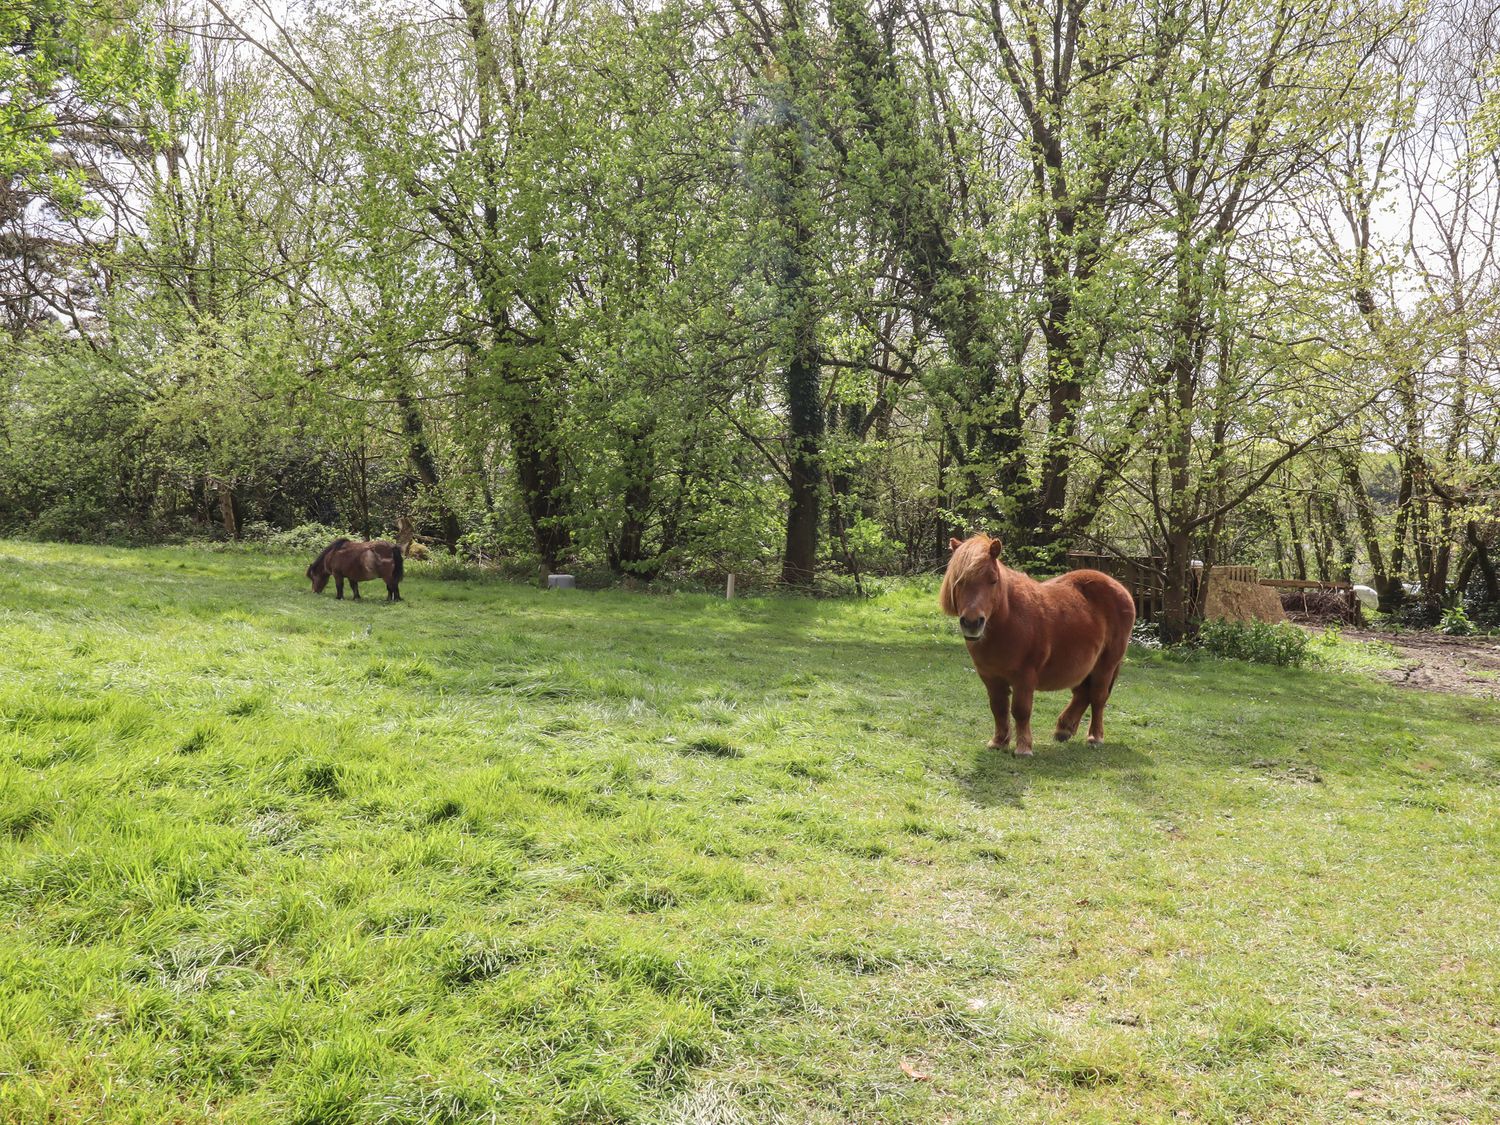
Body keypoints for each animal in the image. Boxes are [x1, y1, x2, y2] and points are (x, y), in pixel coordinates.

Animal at [936, 534, 1134, 759]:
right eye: (959, 581)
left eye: (993, 580)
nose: (971, 622)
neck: (1009, 620)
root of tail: (1120, 588)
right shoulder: (990, 677)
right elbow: (998, 708)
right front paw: (998, 742)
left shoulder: (1024, 676)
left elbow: (1021, 710)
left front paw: (1024, 748)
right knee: (1082, 693)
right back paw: (1064, 729)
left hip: (1106, 664)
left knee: (1098, 697)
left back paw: (1095, 737)